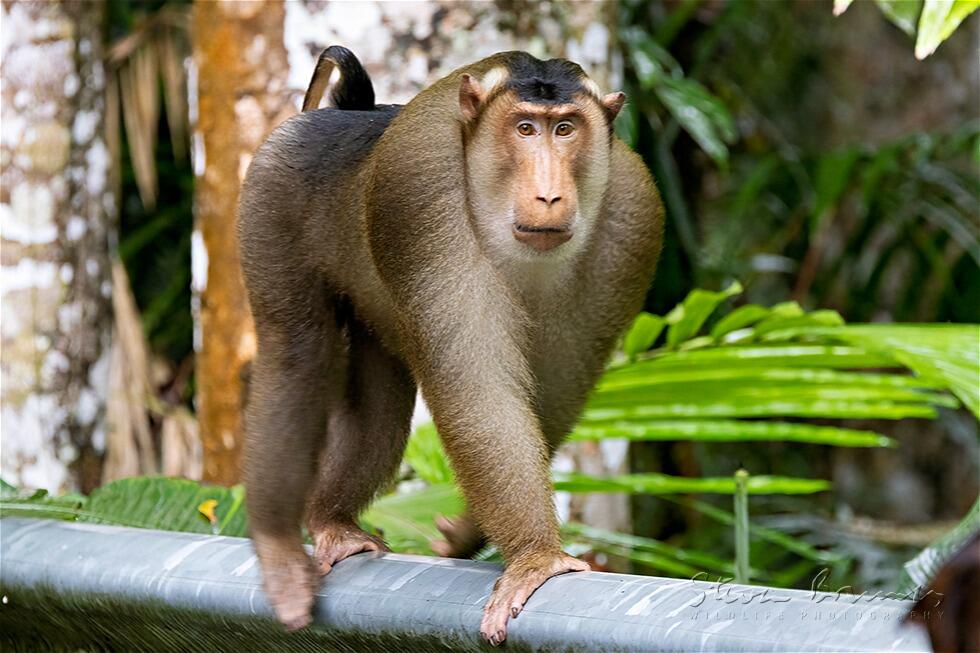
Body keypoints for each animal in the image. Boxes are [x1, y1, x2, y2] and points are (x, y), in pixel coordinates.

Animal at [237, 45, 663, 646]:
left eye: (565, 129)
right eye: (525, 128)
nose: (550, 193)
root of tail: (346, 114)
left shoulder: (633, 218)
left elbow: (553, 392)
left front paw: (468, 530)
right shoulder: (420, 192)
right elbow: (476, 392)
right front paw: (537, 558)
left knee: (379, 407)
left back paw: (331, 520)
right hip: (271, 188)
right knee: (297, 352)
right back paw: (280, 544)